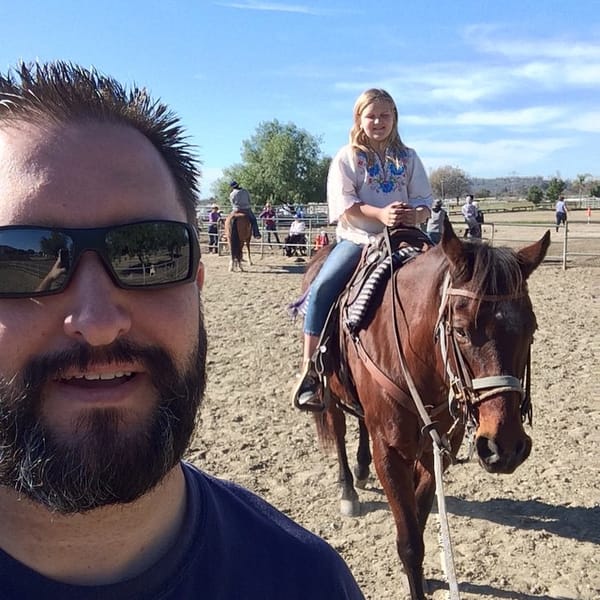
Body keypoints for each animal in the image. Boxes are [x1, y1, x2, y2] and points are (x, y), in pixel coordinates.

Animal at [302, 220, 552, 600]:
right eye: (461, 330)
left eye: (531, 328)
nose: (505, 446)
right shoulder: (390, 455)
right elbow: (409, 542)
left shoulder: (436, 451)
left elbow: (418, 524)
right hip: (328, 392)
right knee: (340, 430)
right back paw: (348, 489)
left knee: (361, 425)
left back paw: (360, 469)